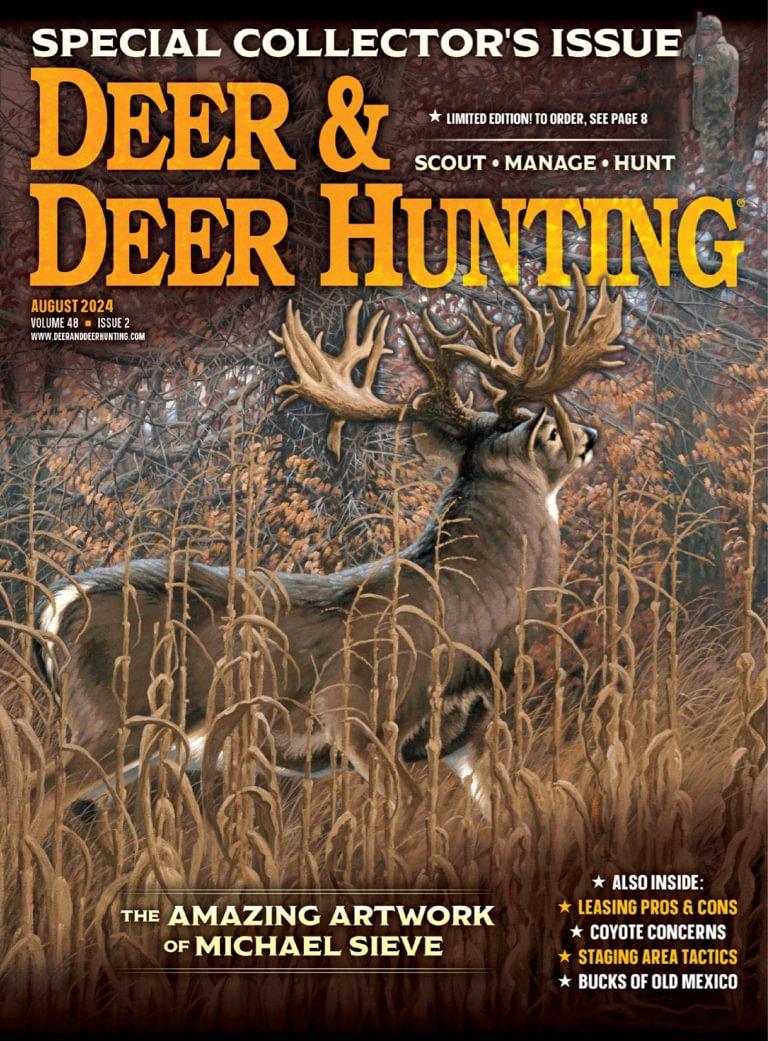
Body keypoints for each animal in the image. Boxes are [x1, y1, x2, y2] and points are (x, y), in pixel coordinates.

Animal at [33, 269, 623, 834]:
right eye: (552, 431)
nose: (592, 434)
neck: (469, 613)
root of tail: (57, 607)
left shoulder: (465, 734)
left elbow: (508, 811)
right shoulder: (355, 712)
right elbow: (403, 813)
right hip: (116, 721)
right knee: (35, 793)